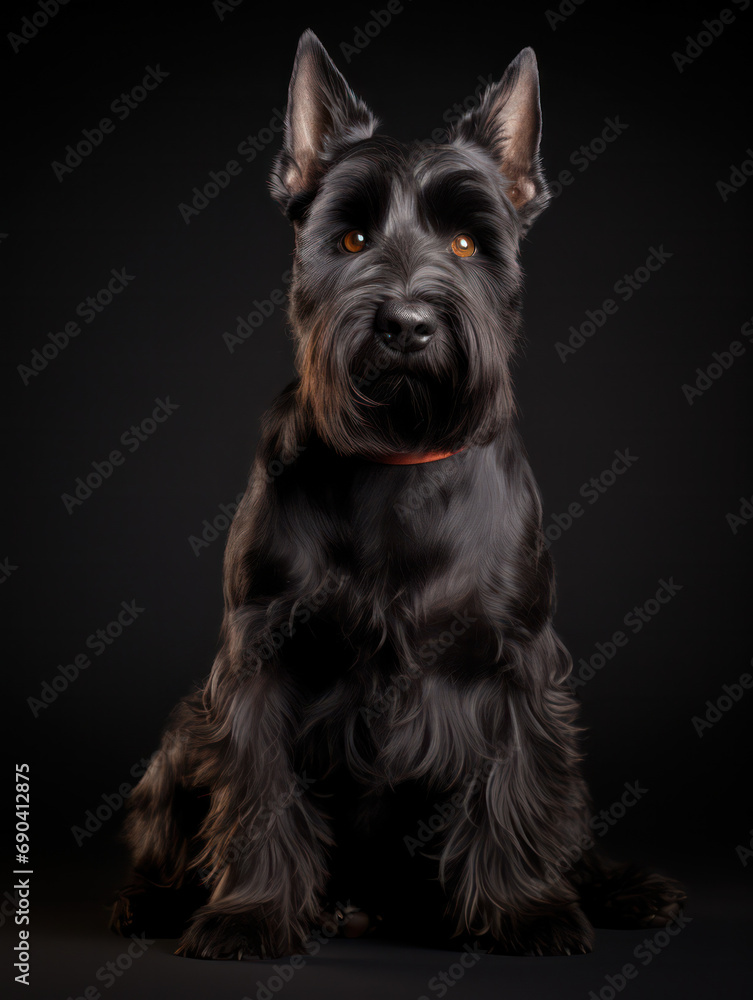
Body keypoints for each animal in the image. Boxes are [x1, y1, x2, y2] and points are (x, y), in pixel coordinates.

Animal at [108, 27, 684, 956]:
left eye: (466, 244)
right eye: (348, 238)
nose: (407, 325)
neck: (397, 461)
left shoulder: (518, 665)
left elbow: (516, 788)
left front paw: (524, 910)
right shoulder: (258, 658)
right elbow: (257, 791)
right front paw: (249, 913)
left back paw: (619, 889)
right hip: (183, 733)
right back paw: (162, 902)